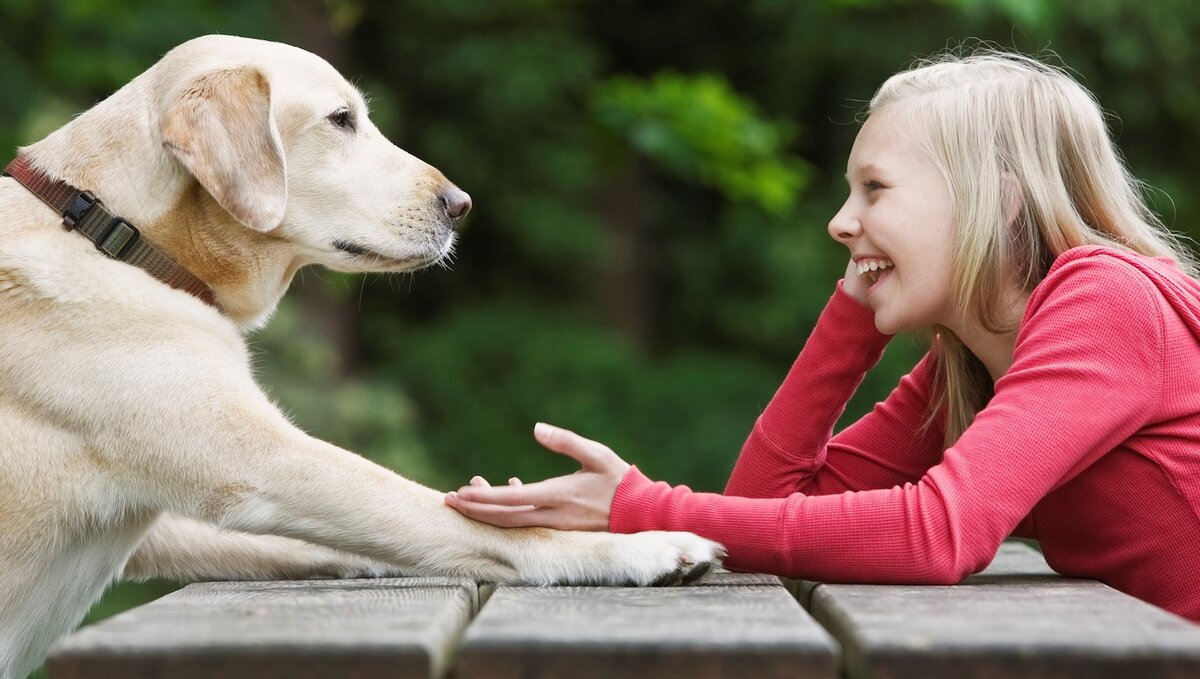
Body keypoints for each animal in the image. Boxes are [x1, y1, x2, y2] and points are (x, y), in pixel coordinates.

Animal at [0, 34, 720, 676]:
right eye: (341, 120)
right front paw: (642, 546)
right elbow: (461, 519)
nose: (461, 205)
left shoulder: (164, 526)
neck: (111, 231)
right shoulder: (265, 463)